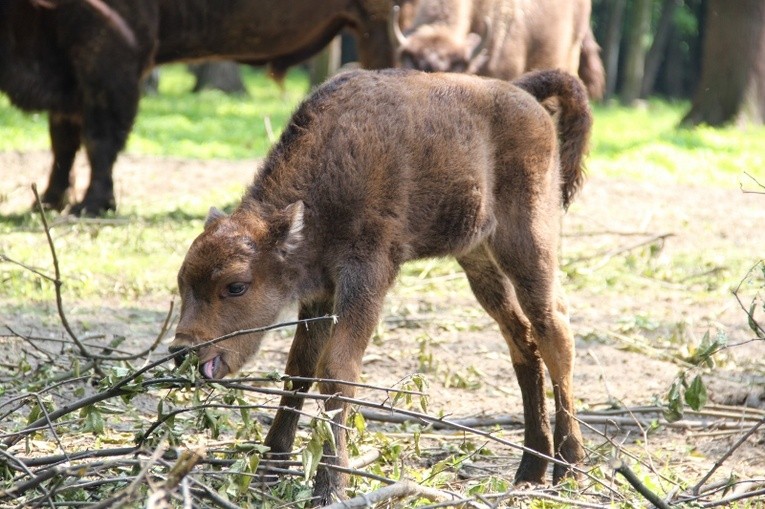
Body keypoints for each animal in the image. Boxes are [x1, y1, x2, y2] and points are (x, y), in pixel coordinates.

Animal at [170, 67, 592, 504]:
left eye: (236, 286)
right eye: (183, 283)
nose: (182, 350)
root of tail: (523, 94)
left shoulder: (366, 277)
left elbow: (337, 370)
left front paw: (329, 488)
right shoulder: (321, 294)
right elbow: (298, 370)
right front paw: (269, 471)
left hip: (528, 246)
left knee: (554, 334)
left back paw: (570, 468)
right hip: (478, 261)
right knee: (522, 341)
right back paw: (530, 468)